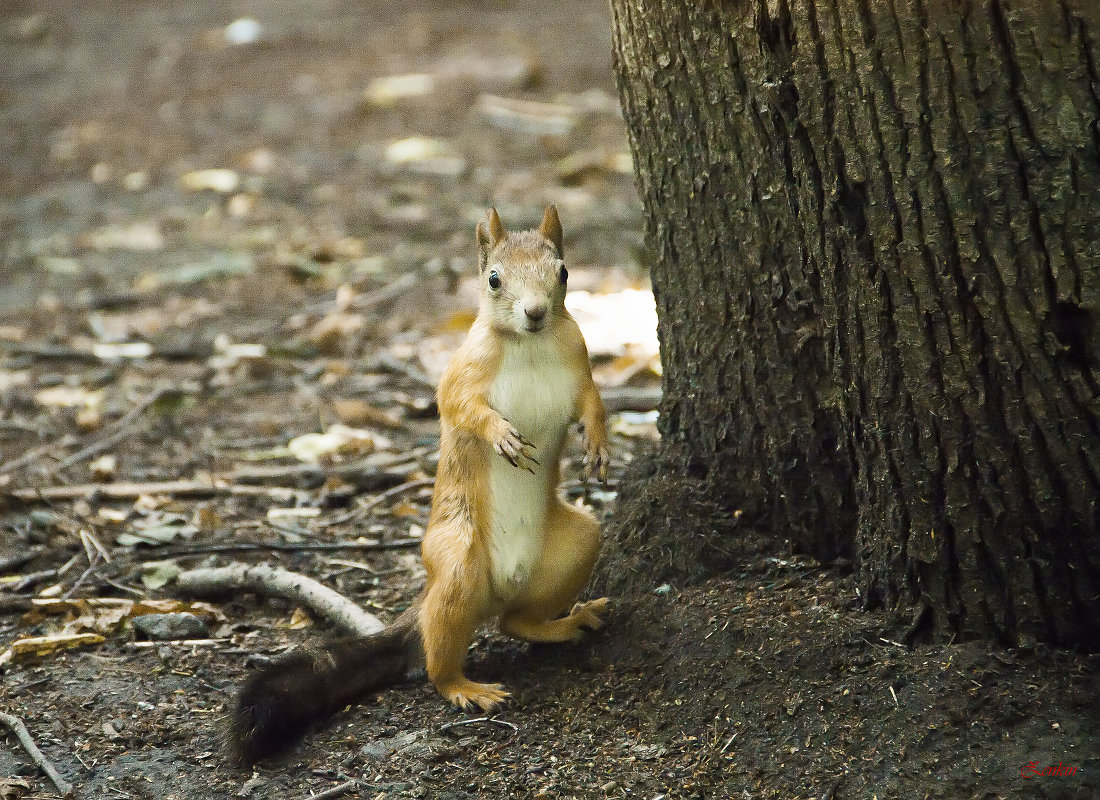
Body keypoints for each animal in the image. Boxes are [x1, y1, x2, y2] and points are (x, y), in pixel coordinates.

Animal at [229, 204, 611, 761]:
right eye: (493, 279)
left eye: (562, 272)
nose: (537, 312)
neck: (532, 345)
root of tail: (497, 591)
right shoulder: (462, 372)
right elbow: (459, 406)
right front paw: (500, 435)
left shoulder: (579, 362)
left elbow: (592, 401)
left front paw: (599, 442)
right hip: (454, 560)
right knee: (441, 653)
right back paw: (463, 687)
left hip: (576, 543)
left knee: (515, 621)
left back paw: (564, 622)